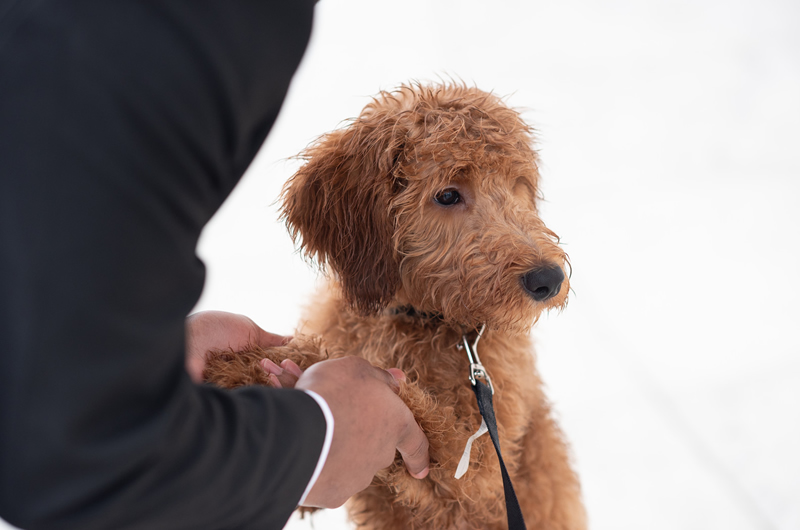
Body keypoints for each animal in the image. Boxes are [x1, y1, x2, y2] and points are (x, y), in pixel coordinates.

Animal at [203, 82, 584, 528]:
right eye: (448, 194)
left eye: (517, 184)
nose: (549, 280)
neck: (419, 319)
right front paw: (236, 368)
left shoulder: (478, 479)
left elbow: (417, 409)